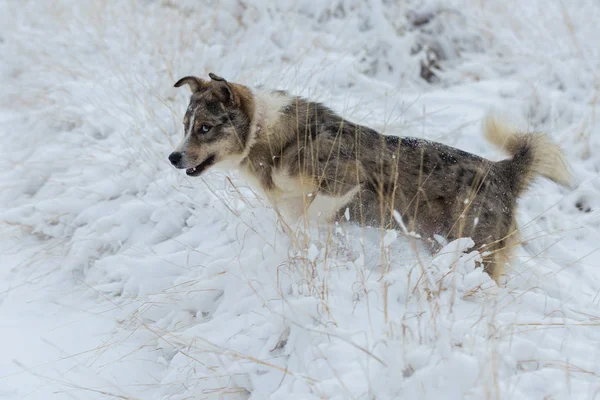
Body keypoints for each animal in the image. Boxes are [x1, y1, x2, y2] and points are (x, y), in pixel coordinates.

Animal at [169, 73, 572, 282]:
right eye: (185, 126)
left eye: (205, 128)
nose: (173, 157)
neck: (266, 135)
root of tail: (503, 171)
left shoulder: (344, 183)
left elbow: (311, 217)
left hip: (475, 249)